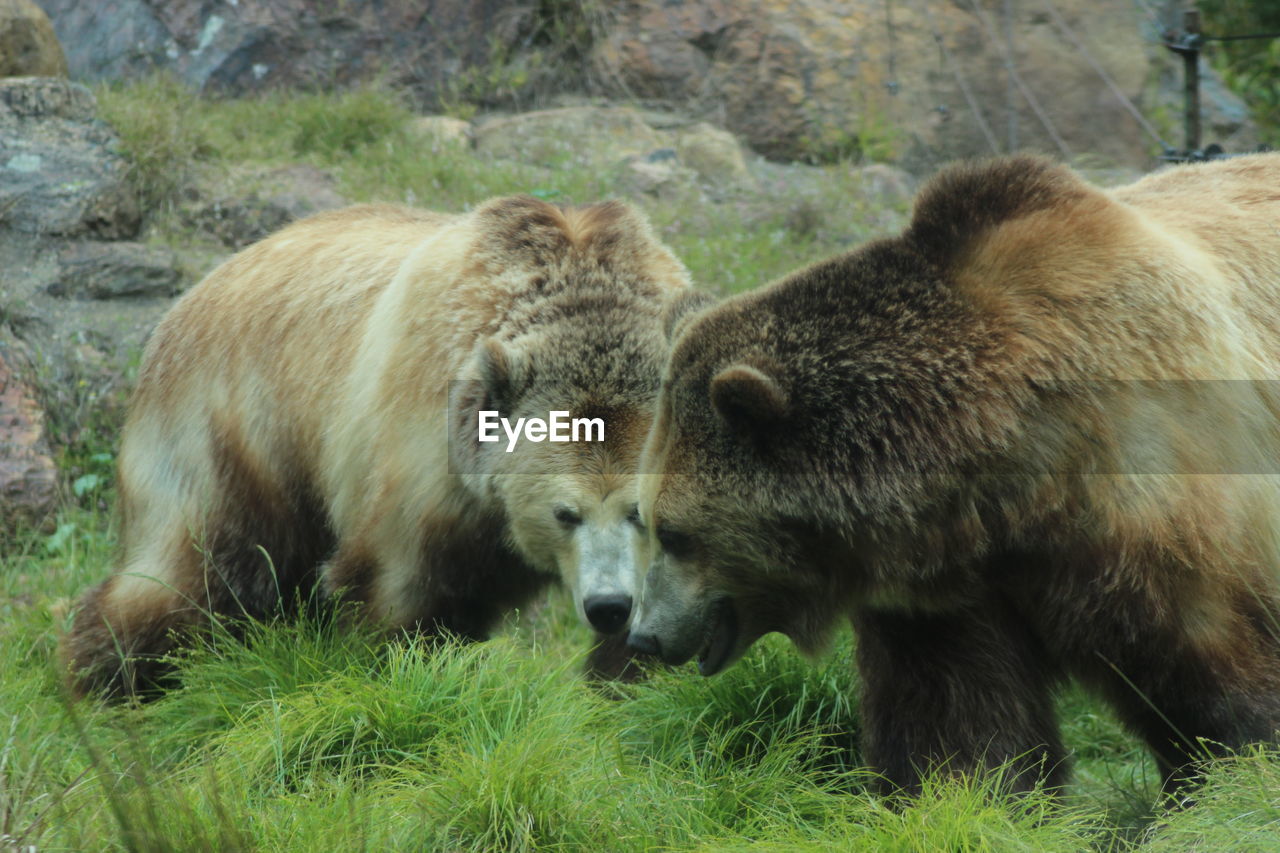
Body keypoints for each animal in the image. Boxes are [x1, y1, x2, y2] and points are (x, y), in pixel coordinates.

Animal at [60, 195, 701, 696]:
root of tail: (184, 302)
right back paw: (106, 673)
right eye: (565, 513)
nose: (609, 605)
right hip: (235, 427)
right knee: (191, 571)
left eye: (638, 513)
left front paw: (628, 685)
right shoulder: (425, 451)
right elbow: (398, 587)